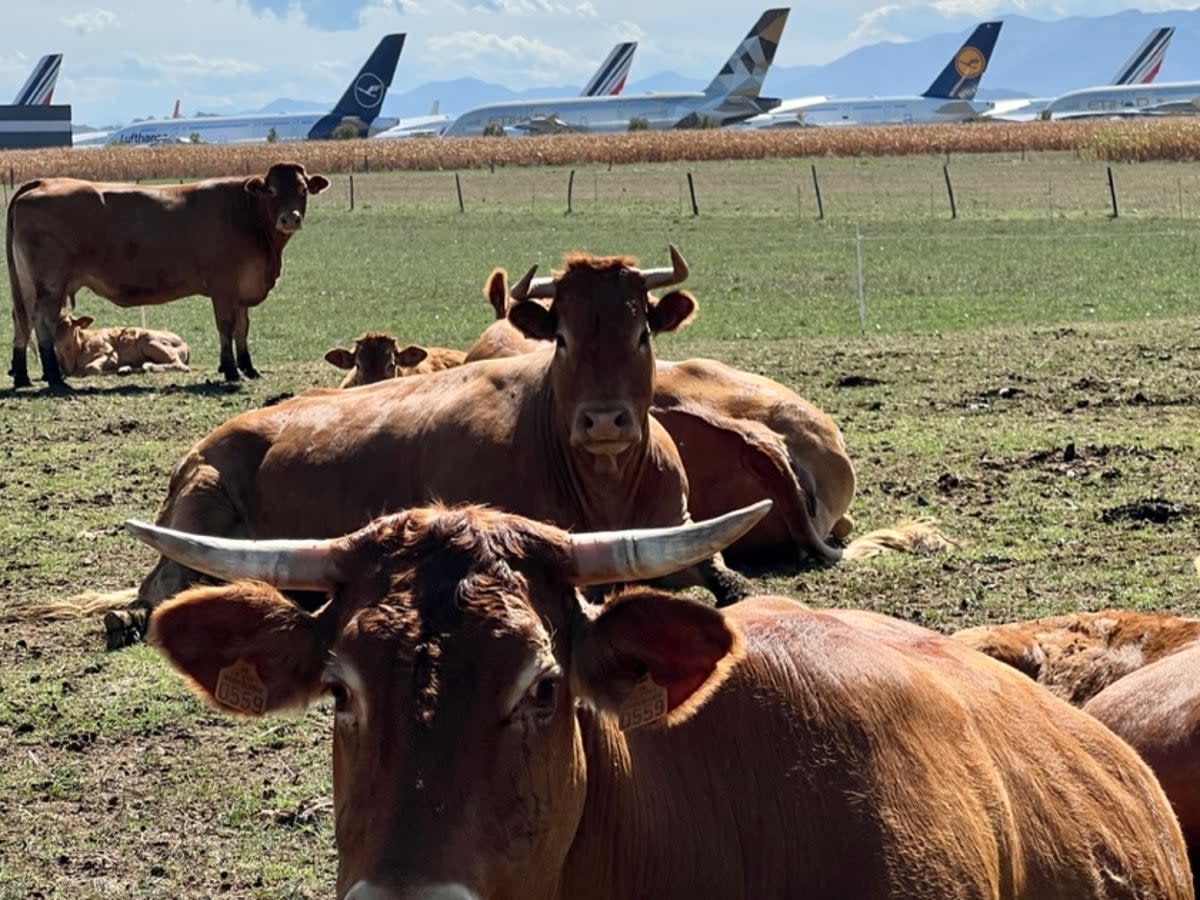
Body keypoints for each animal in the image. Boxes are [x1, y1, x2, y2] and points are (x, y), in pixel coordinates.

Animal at [52, 314, 189, 376]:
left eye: (67, 323)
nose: (54, 340)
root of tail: (184, 342)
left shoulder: (110, 354)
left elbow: (91, 368)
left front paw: (121, 368)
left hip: (148, 340)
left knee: (180, 365)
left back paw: (147, 366)